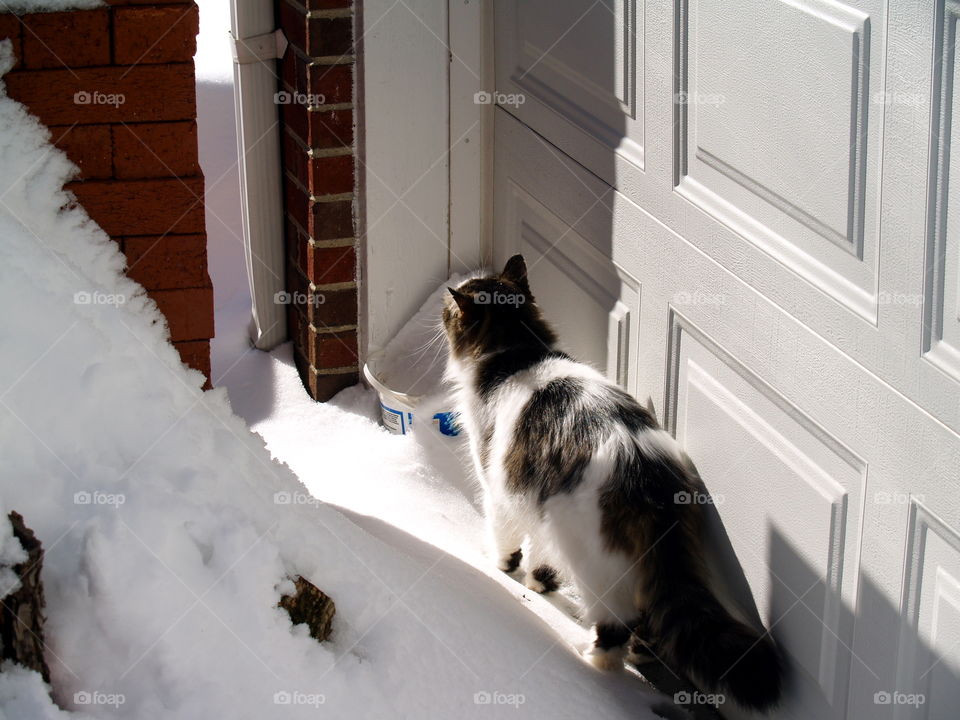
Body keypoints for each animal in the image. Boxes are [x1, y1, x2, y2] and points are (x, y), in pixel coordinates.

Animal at [446, 256, 784, 712]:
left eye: (449, 310)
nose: (442, 305)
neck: (516, 352)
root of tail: (647, 473)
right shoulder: (541, 507)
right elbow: (542, 556)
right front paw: (539, 583)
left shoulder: (500, 488)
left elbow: (506, 540)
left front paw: (503, 569)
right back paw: (637, 652)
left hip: (597, 563)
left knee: (615, 629)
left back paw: (589, 659)